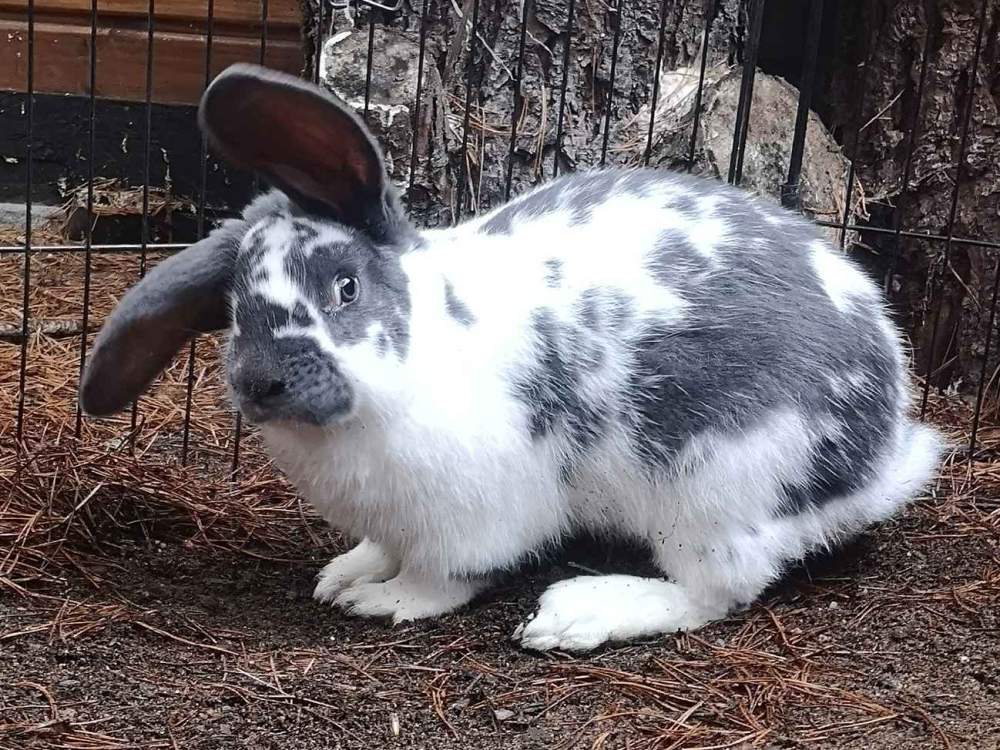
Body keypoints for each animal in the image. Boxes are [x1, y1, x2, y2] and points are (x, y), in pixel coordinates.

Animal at [80, 63, 944, 652]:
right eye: (232, 310)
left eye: (345, 287)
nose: (261, 382)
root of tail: (876, 456)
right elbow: (379, 548)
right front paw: (346, 573)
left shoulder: (469, 515)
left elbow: (440, 578)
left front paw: (381, 602)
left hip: (710, 485)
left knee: (716, 590)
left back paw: (579, 613)